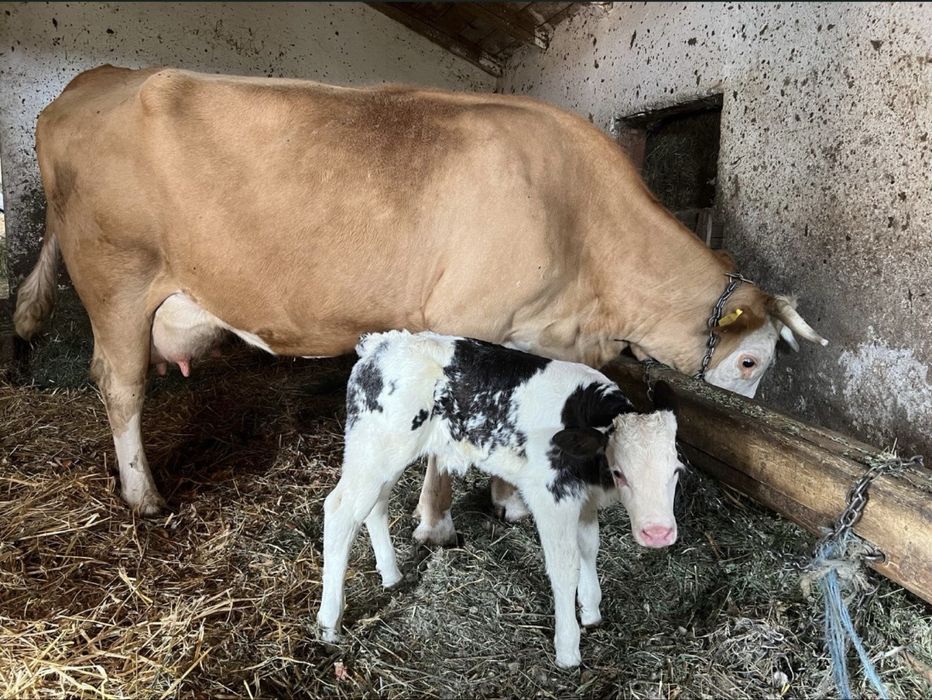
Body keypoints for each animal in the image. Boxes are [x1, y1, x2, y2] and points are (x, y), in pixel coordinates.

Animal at [12, 66, 826, 523]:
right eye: (752, 361)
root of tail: (91, 80)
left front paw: (506, 501)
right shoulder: (467, 321)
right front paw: (439, 521)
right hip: (117, 280)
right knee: (118, 384)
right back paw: (144, 496)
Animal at [317, 331, 683, 668]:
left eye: (676, 471)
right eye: (620, 472)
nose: (658, 533)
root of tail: (380, 344)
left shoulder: (583, 501)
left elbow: (590, 549)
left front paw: (591, 611)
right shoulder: (551, 498)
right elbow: (565, 567)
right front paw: (568, 650)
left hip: (383, 456)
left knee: (374, 506)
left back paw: (391, 575)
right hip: (375, 449)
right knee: (339, 511)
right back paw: (329, 622)